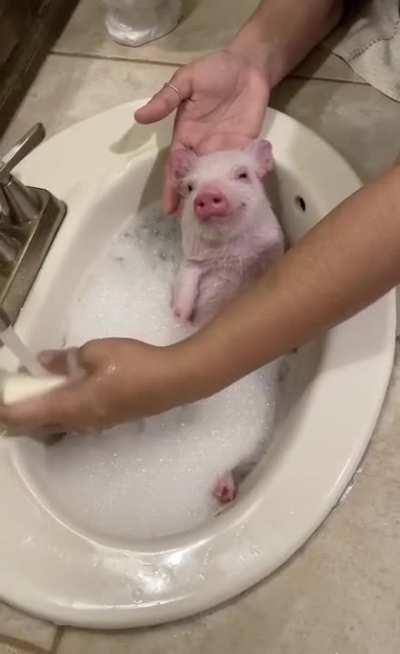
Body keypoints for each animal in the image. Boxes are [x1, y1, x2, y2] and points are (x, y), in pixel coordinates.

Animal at [170, 139, 285, 504]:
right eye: (190, 187)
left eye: (243, 174)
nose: (207, 195)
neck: (230, 254)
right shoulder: (191, 263)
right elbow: (187, 284)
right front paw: (180, 318)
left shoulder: (272, 249)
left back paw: (224, 489)